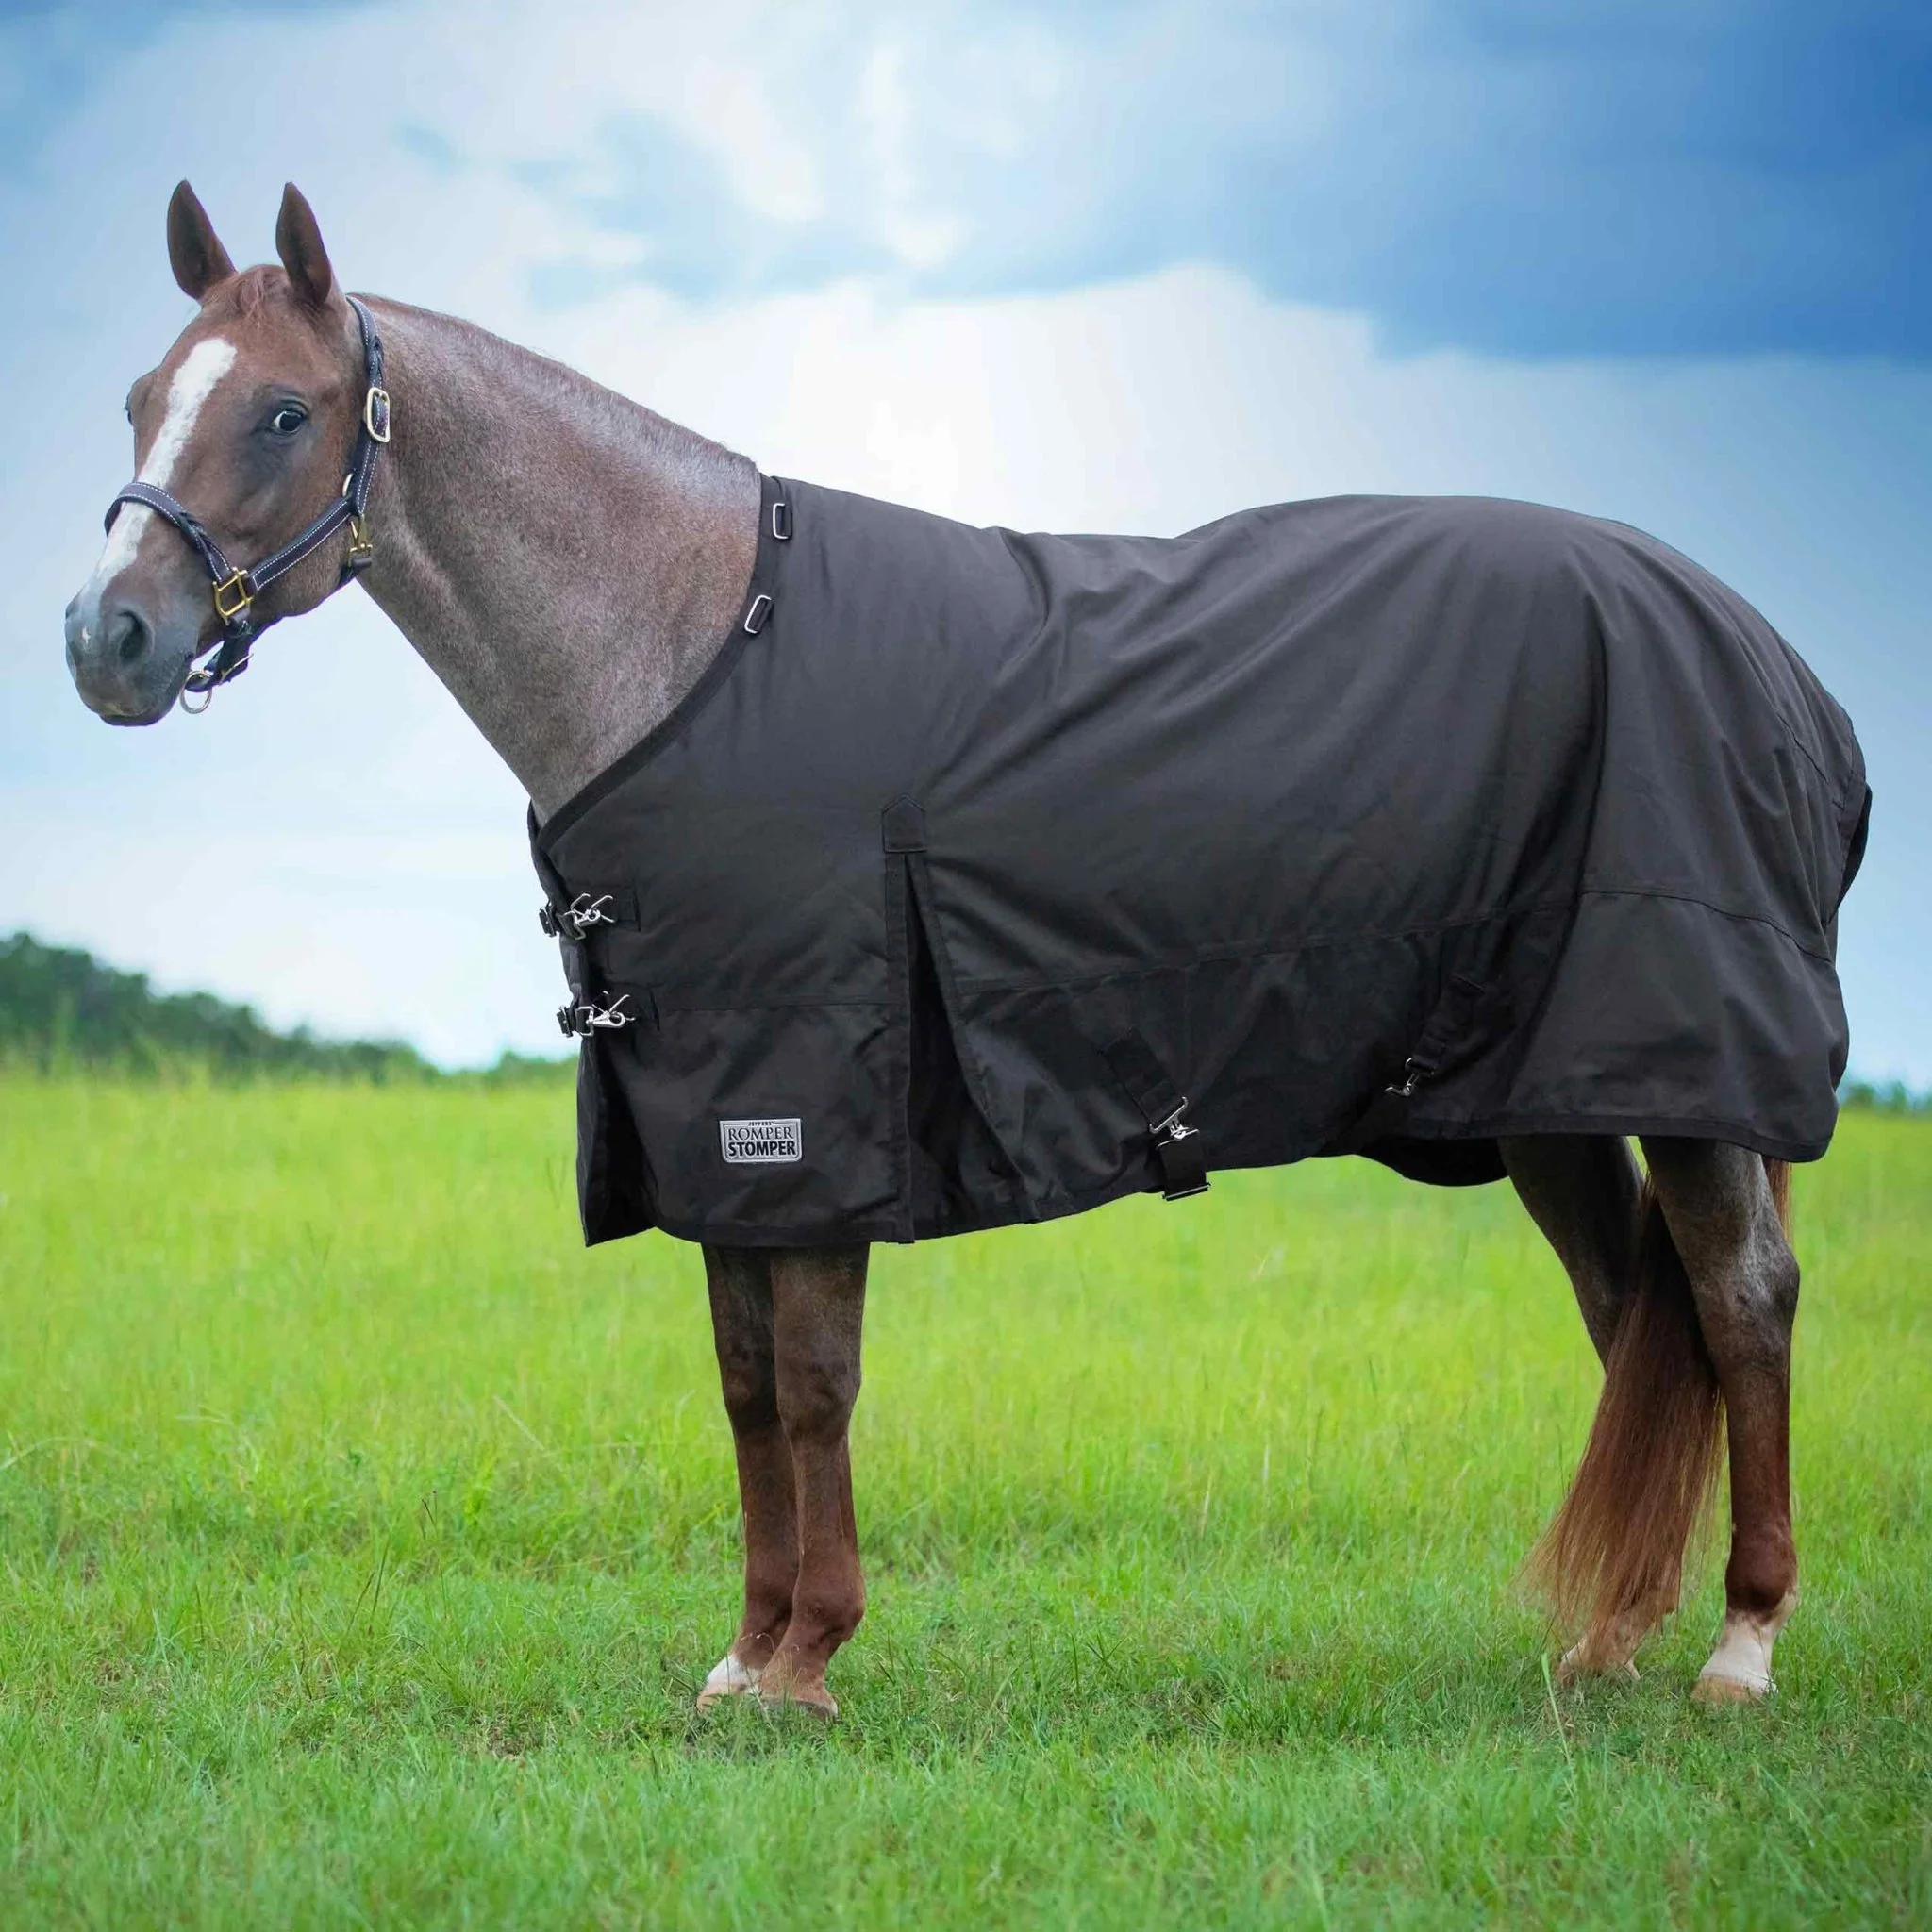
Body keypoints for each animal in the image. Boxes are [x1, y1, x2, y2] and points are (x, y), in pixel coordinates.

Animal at [64, 181, 1866, 1719]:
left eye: (280, 411)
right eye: (142, 396)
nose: (106, 639)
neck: (692, 648)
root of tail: (1775, 670)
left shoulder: (807, 1112)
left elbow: (811, 1380)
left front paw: (806, 1660)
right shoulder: (711, 1126)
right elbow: (742, 1384)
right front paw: (743, 1657)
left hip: (1687, 1074)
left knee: (1740, 1304)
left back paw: (1740, 1647)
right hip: (1548, 1095)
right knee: (1638, 1313)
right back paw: (1611, 1640)